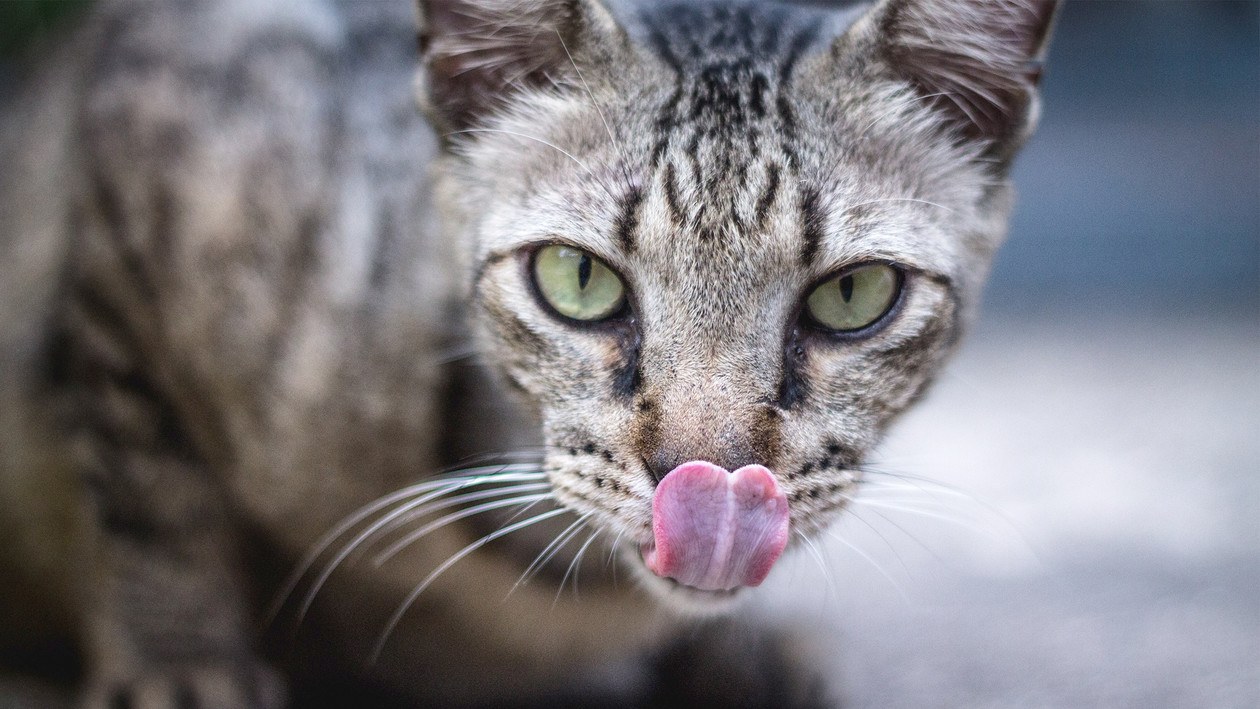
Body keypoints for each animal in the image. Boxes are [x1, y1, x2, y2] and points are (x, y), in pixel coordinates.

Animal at [0, 0, 1058, 705]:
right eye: (576, 278)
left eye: (853, 295)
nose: (710, 480)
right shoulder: (142, 159)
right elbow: (151, 495)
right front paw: (182, 661)